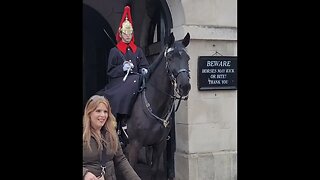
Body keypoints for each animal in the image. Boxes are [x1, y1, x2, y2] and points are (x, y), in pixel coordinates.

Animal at [123, 32, 191, 179]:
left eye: (187, 58)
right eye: (170, 58)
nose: (185, 86)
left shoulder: (159, 145)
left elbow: (153, 170)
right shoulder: (134, 145)